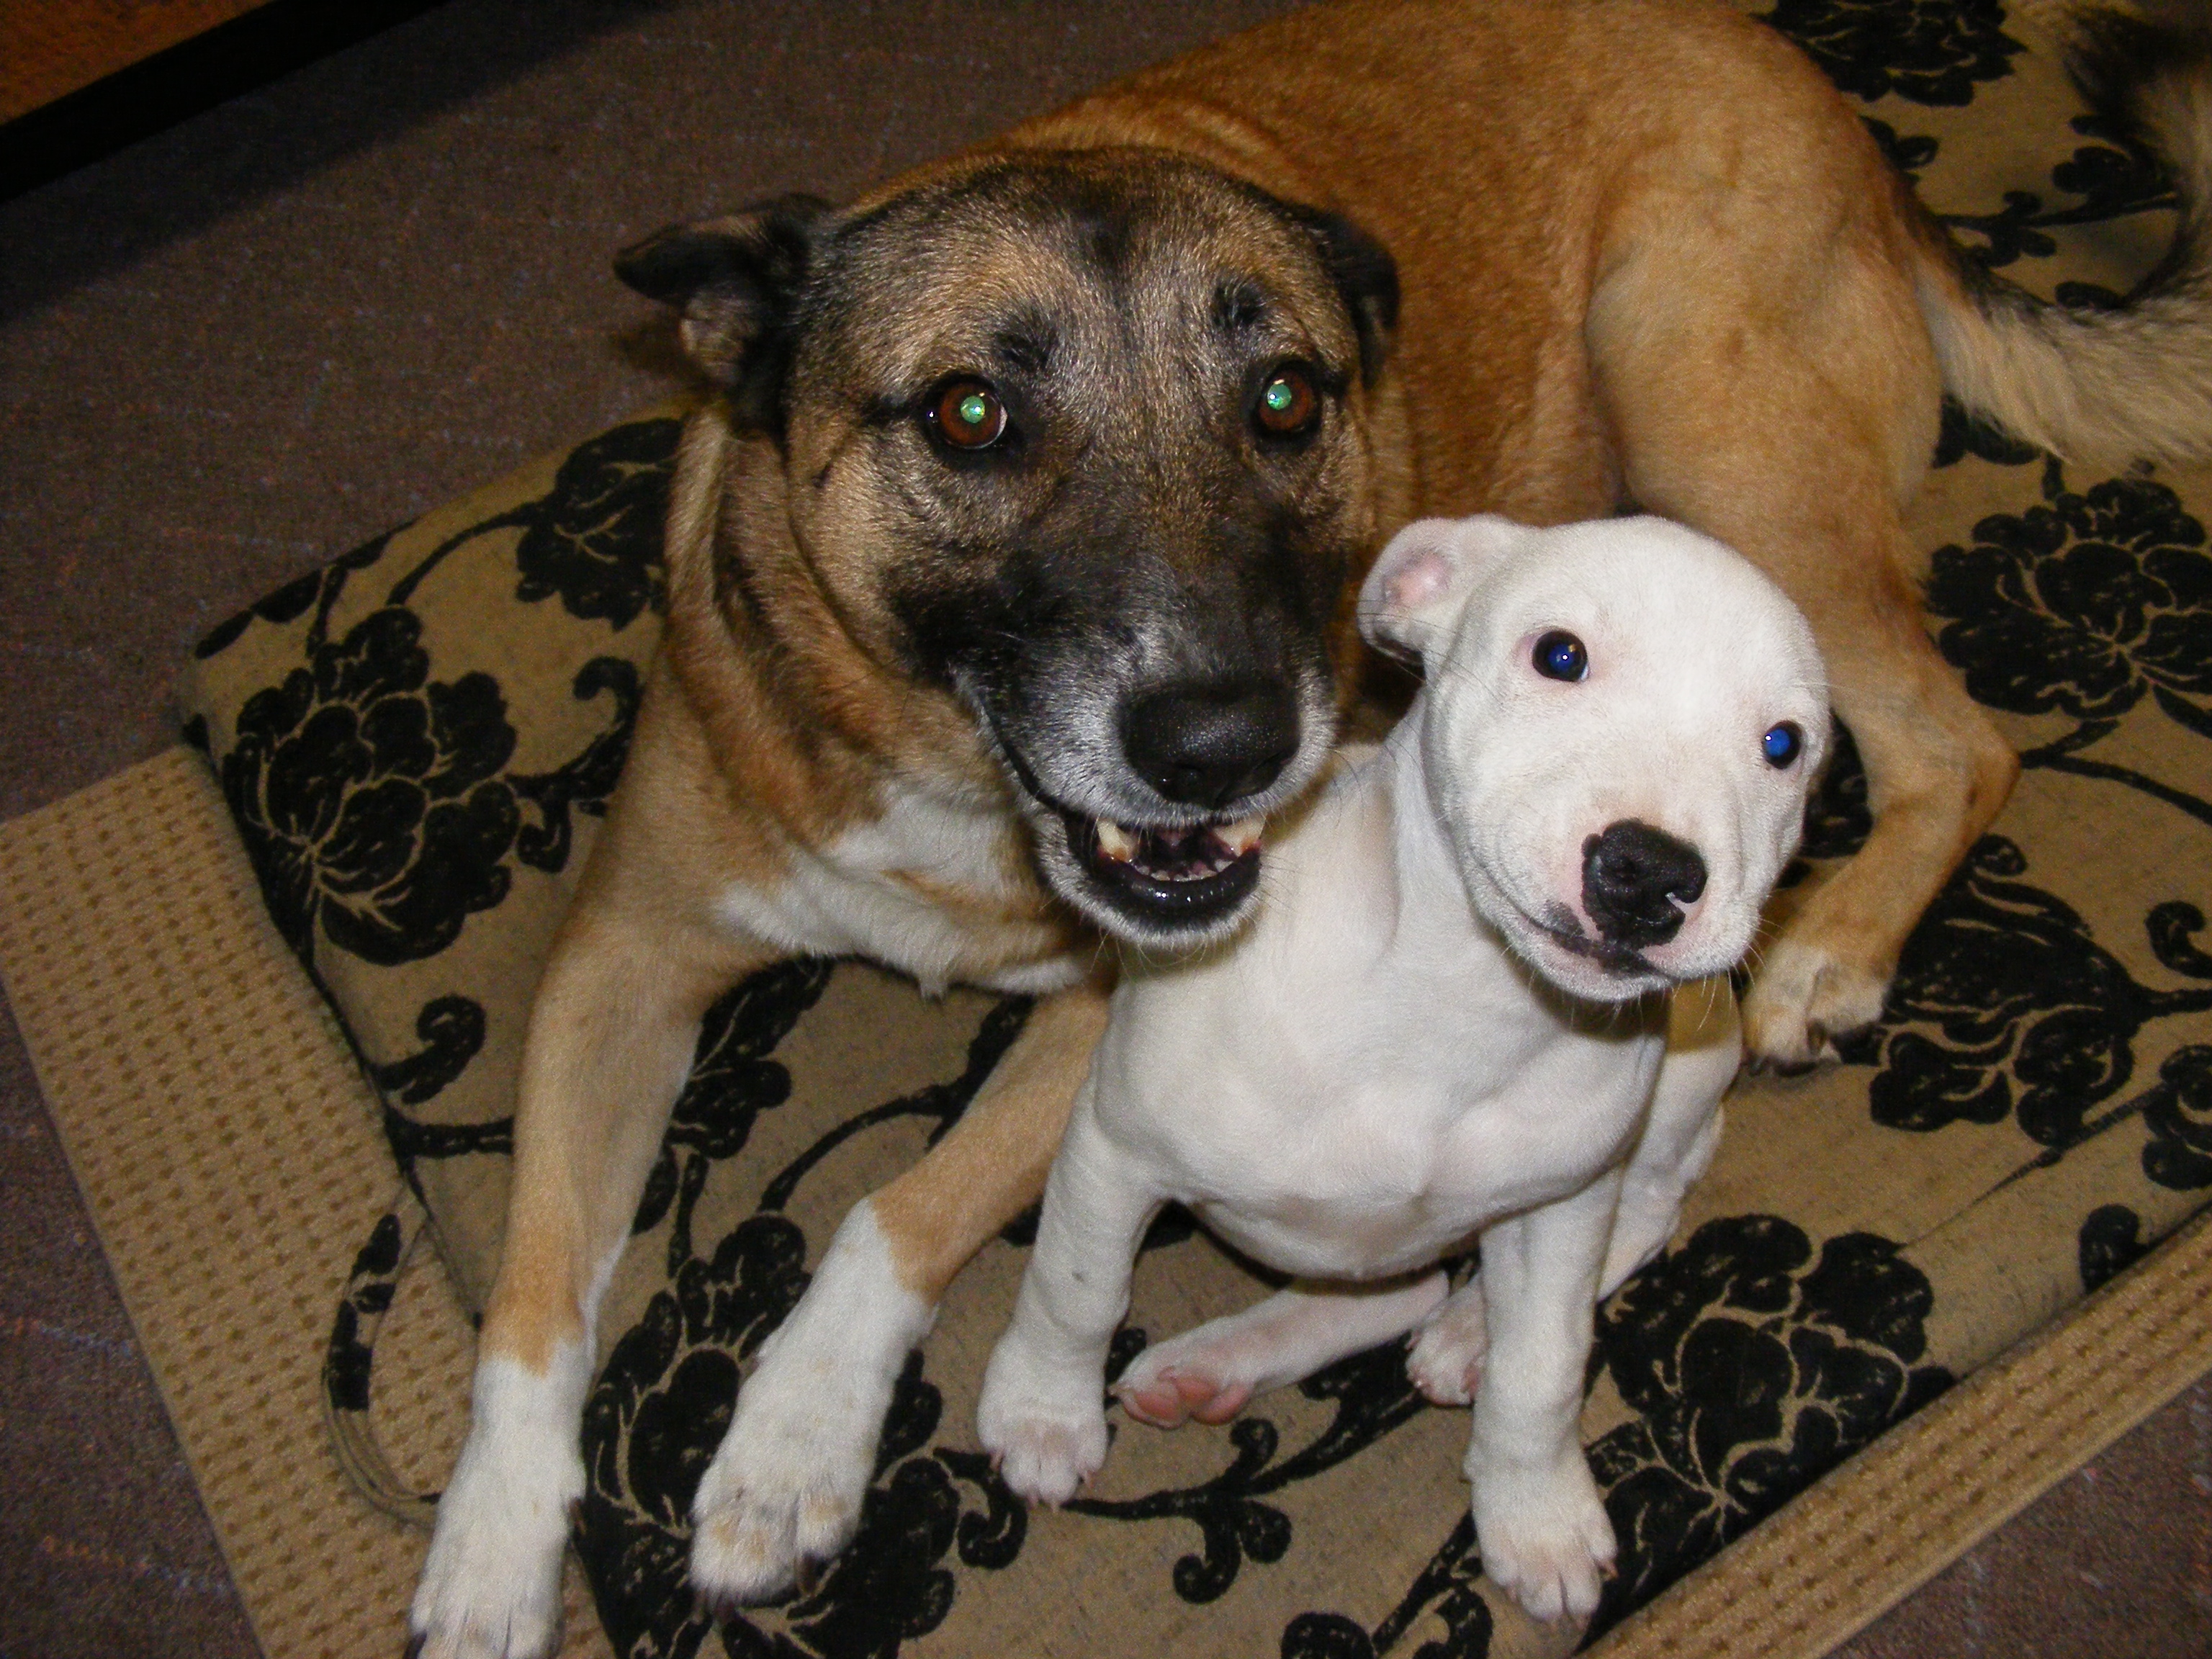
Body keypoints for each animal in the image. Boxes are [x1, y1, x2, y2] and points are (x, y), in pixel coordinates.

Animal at [977, 517, 1822, 1627]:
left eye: (1785, 746)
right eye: (1559, 655)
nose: (1651, 874)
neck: (1458, 1006)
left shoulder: (1564, 1205)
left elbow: (1545, 1371)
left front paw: (1537, 1515)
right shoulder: (1114, 1149)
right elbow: (1076, 1287)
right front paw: (1041, 1414)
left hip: (1680, 1085)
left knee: (1631, 1216)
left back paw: (1466, 1333)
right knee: (1388, 1291)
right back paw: (1220, 1364)